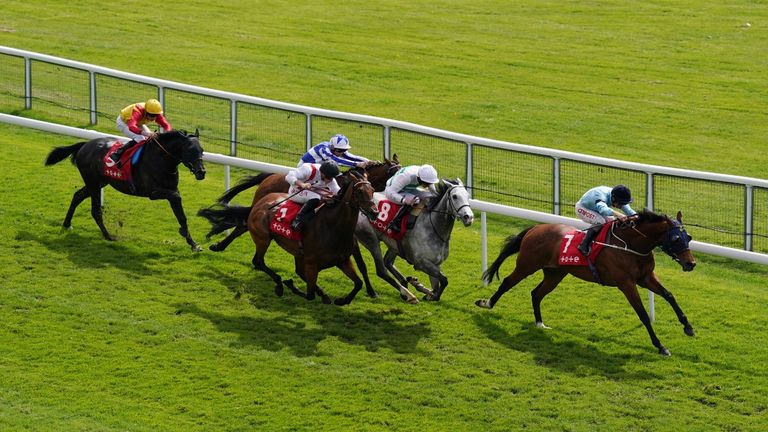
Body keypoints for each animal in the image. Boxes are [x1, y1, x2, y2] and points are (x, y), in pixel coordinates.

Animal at [44, 129, 207, 250]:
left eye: (202, 150)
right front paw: (185, 234)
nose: (201, 172)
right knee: (95, 210)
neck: (162, 159)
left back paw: (67, 224)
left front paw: (193, 244)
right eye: (190, 150)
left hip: (99, 183)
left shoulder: (172, 190)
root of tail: (85, 144)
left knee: (77, 196)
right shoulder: (154, 193)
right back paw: (109, 236)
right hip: (93, 182)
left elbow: (181, 215)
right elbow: (176, 199)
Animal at [198, 170, 378, 306]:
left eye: (373, 191)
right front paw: (291, 284)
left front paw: (343, 300)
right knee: (257, 260)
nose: (375, 212)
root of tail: (262, 201)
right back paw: (279, 284)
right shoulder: (311, 263)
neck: (333, 226)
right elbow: (309, 294)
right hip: (263, 238)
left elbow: (358, 282)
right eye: (359, 191)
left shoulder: (342, 260)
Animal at [474, 211, 696, 356]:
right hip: (527, 265)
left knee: (536, 293)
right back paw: (487, 303)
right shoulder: (626, 283)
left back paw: (540, 323)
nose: (691, 263)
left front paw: (688, 327)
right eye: (676, 238)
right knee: (507, 282)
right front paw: (660, 346)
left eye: (689, 237)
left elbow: (669, 295)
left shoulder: (646, 278)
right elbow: (642, 314)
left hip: (555, 273)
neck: (631, 245)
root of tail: (535, 228)